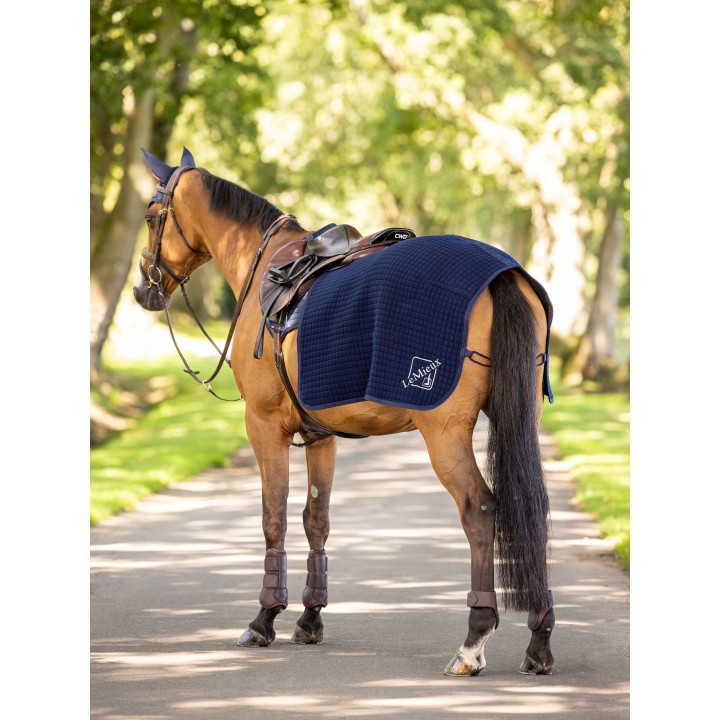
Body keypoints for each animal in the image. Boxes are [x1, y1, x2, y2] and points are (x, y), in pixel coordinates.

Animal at [132, 147, 556, 677]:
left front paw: (264, 619)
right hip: (519, 421)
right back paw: (539, 640)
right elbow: (317, 519)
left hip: (444, 432)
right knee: (532, 507)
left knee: (479, 510)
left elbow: (274, 517)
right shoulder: (321, 436)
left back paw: (473, 642)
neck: (266, 268)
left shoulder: (264, 426)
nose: (143, 289)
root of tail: (503, 274)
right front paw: (310, 618)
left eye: (151, 215)